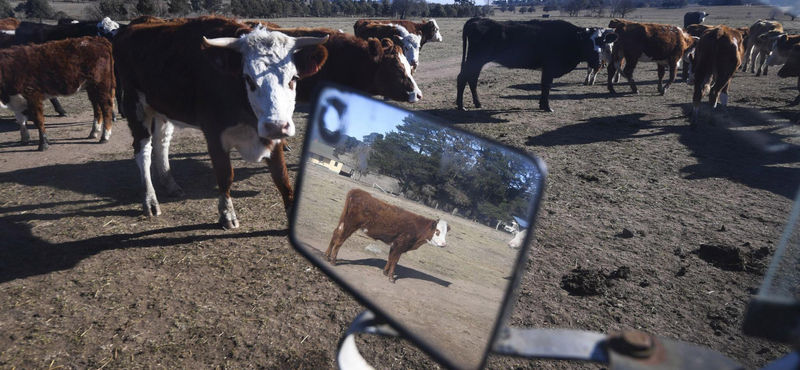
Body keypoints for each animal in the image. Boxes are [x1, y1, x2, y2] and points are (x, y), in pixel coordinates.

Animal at [112, 16, 328, 228]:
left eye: (294, 78)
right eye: (248, 79)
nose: (277, 126)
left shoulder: (271, 136)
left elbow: (281, 177)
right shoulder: (214, 133)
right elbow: (225, 174)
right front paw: (227, 213)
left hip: (162, 110)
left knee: (161, 143)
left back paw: (170, 184)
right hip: (135, 105)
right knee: (143, 151)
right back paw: (150, 200)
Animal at [456, 18, 620, 112]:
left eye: (603, 42)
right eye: (587, 42)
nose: (597, 62)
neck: (568, 38)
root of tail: (476, 19)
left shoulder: (547, 69)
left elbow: (543, 86)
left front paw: (542, 104)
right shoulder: (550, 67)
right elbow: (546, 86)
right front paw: (547, 107)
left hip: (477, 61)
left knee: (472, 79)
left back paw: (477, 104)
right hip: (475, 58)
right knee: (463, 78)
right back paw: (461, 105)